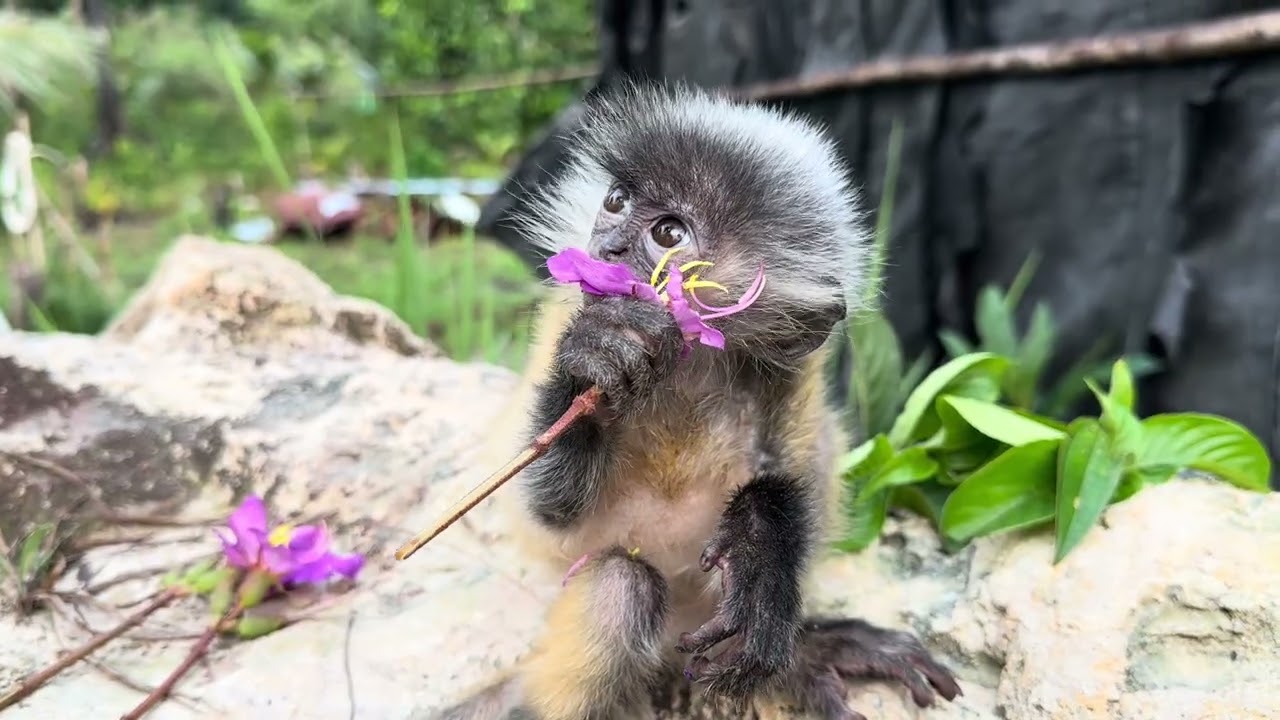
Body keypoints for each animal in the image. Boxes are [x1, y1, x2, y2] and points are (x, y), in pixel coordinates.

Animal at [431, 81, 961, 720]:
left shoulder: (792, 370)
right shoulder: (564, 315)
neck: (683, 376)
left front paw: (759, 547)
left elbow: (788, 488)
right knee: (623, 586)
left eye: (668, 234)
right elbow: (544, 509)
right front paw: (600, 352)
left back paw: (804, 649)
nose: (607, 245)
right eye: (616, 201)